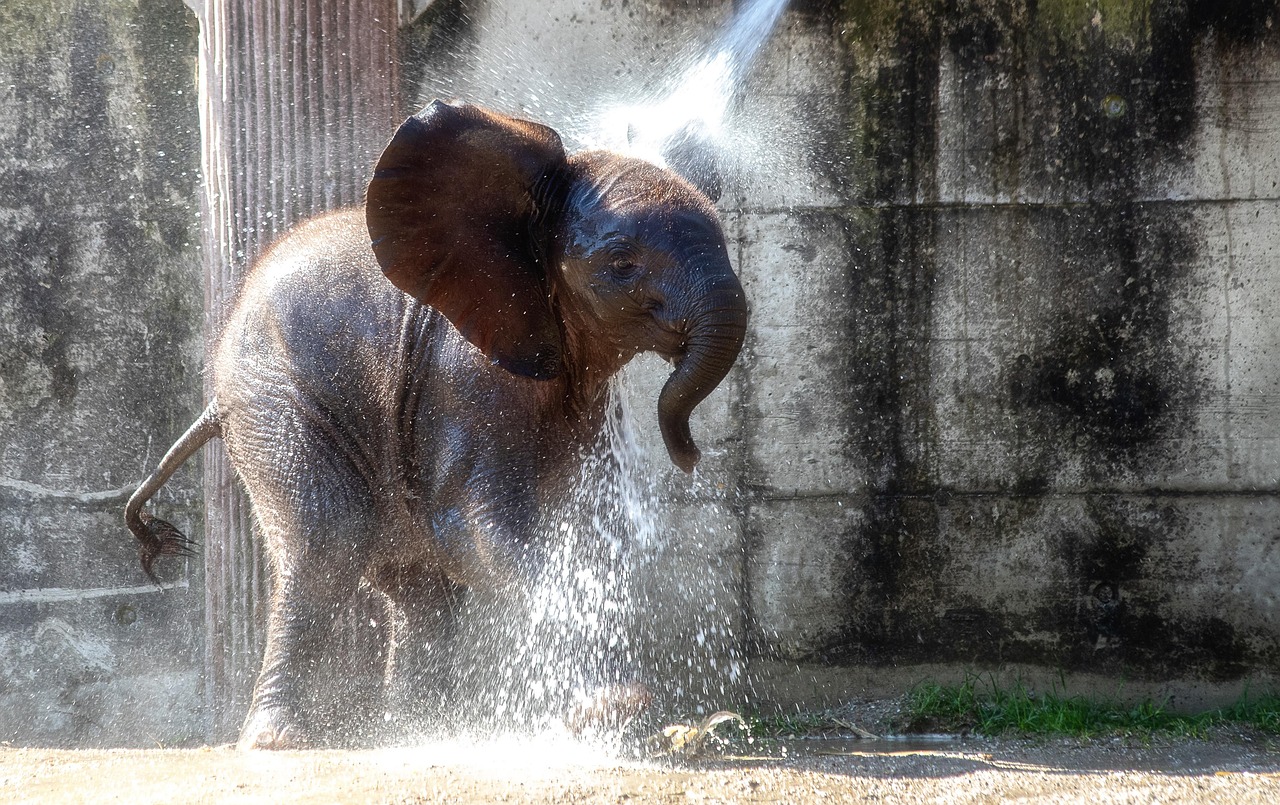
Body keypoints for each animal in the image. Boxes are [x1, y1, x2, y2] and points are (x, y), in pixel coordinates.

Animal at [124, 100, 749, 750]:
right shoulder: (463, 379)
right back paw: (278, 740)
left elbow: (583, 530)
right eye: (622, 265)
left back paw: (411, 730)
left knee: (417, 589)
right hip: (271, 398)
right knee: (330, 540)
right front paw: (611, 707)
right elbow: (476, 530)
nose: (690, 455)